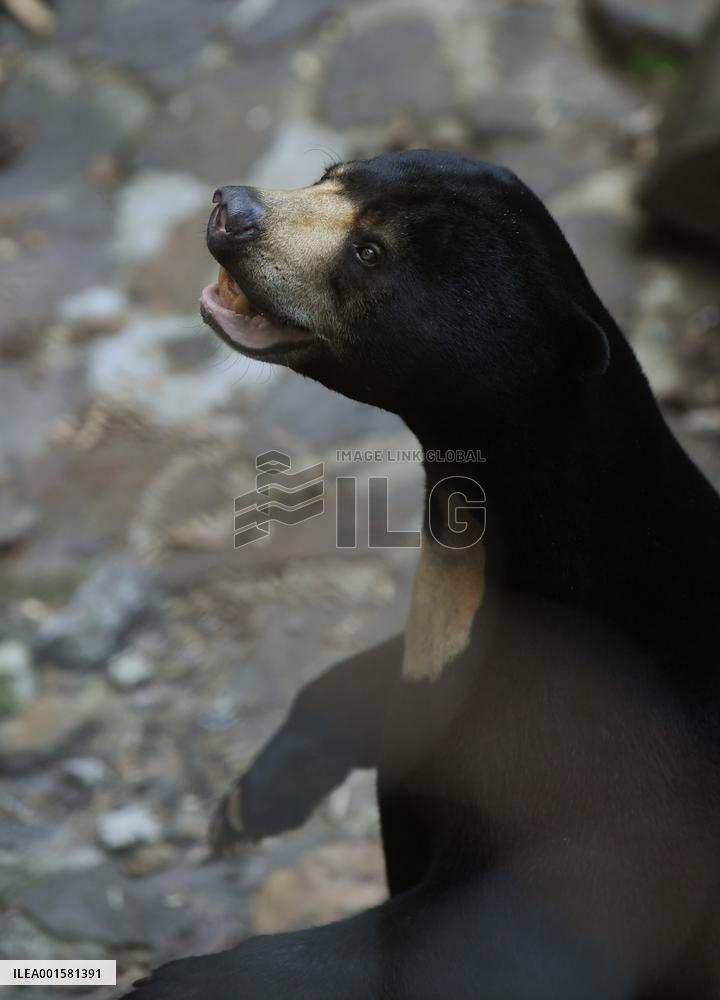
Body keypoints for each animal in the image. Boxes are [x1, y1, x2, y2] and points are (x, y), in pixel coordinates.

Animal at [124, 150, 720, 1000]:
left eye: (371, 253)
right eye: (334, 172)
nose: (232, 209)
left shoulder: (610, 789)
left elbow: (476, 947)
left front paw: (176, 978)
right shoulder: (443, 648)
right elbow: (378, 683)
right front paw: (247, 805)